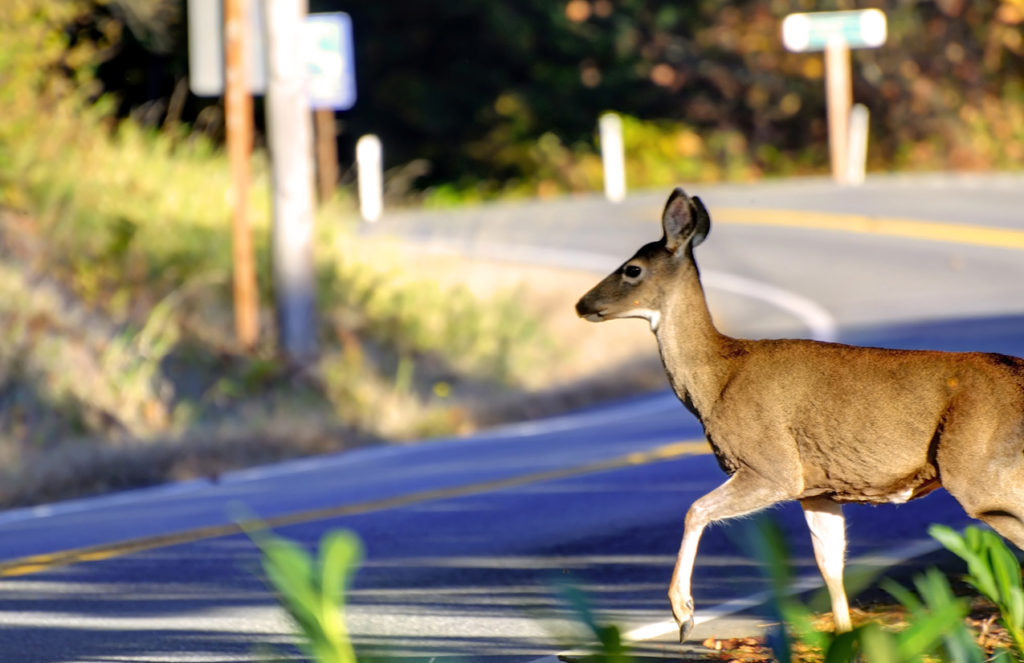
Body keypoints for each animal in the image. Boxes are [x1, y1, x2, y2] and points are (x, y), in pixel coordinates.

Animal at [573, 186, 1024, 643]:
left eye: (632, 269)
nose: (581, 304)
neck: (718, 379)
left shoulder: (772, 465)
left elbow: (695, 509)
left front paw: (683, 615)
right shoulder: (819, 488)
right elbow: (830, 566)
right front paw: (843, 639)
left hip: (980, 474)